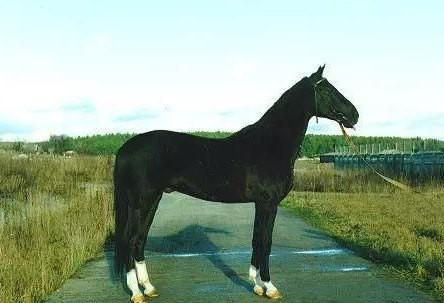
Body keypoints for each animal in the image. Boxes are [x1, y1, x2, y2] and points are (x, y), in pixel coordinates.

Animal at [112, 65, 360, 302]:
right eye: (327, 90)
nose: (354, 115)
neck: (271, 144)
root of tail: (125, 149)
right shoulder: (268, 204)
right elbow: (266, 242)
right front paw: (270, 287)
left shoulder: (261, 204)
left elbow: (257, 240)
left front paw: (257, 285)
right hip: (141, 202)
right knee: (128, 240)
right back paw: (136, 292)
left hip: (152, 200)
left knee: (139, 240)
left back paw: (148, 288)